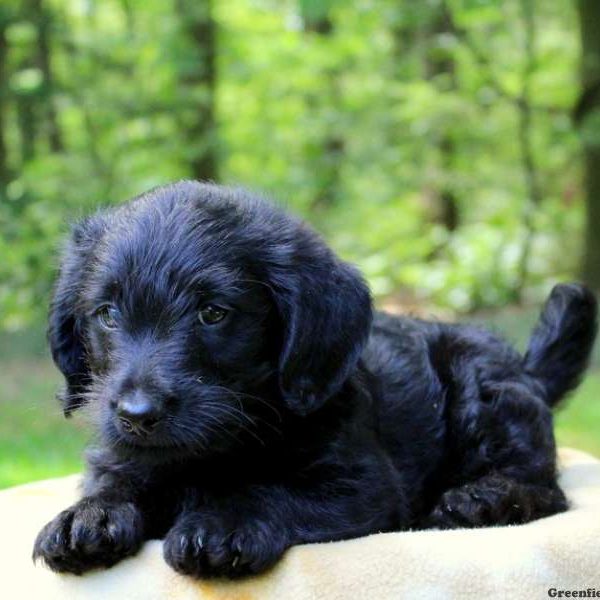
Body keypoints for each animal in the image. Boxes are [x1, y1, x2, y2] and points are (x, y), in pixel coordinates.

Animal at [31, 182, 596, 576]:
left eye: (213, 313)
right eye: (106, 314)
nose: (137, 415)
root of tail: (529, 369)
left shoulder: (361, 485)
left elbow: (267, 490)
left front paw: (223, 523)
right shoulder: (122, 455)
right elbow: (117, 480)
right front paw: (87, 517)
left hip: (482, 387)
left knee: (546, 489)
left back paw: (480, 500)